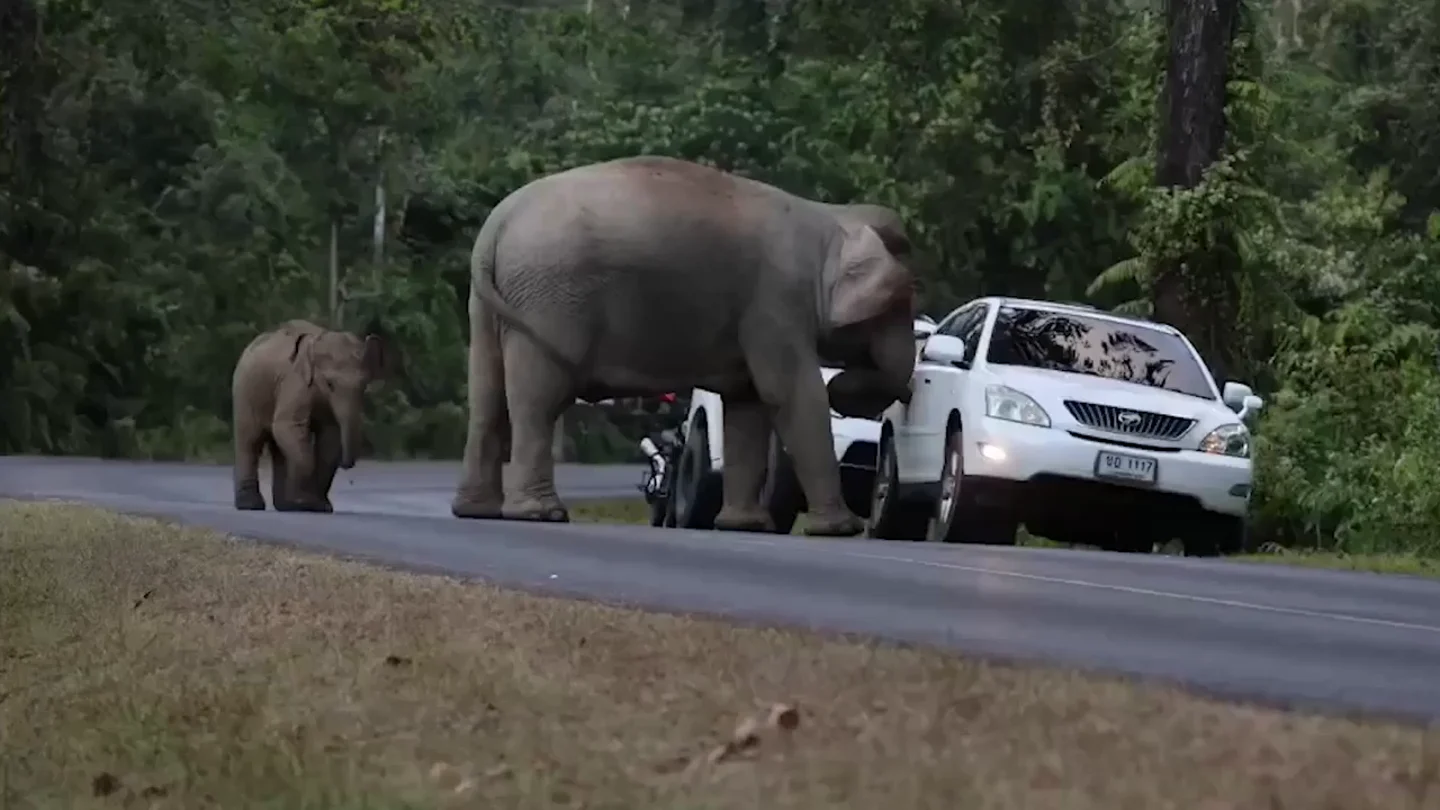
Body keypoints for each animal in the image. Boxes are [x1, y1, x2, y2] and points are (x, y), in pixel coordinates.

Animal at [231, 319, 393, 512]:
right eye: (330, 384)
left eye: (364, 385)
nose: (346, 465)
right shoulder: (295, 382)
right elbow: (288, 425)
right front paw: (305, 503)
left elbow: (330, 437)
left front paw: (320, 506)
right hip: (244, 393)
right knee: (250, 441)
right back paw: (251, 505)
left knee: (278, 448)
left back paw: (285, 505)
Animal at [450, 155, 919, 537]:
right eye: (896, 304)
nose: (843, 384)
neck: (832, 219)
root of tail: (496, 226)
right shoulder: (777, 303)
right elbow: (792, 395)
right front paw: (839, 529)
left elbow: (747, 406)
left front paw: (745, 527)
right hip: (550, 302)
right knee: (538, 401)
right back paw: (541, 514)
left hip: (494, 305)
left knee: (488, 399)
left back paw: (477, 511)